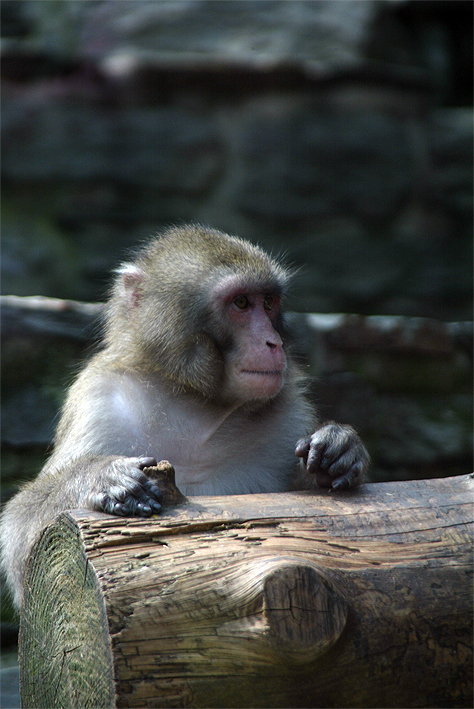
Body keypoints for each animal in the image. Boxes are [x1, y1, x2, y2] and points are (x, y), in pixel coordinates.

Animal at [0, 225, 370, 608]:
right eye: (241, 303)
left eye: (268, 303)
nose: (273, 342)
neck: (194, 400)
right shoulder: (98, 399)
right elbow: (24, 549)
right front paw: (99, 476)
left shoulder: (289, 412)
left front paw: (340, 446)